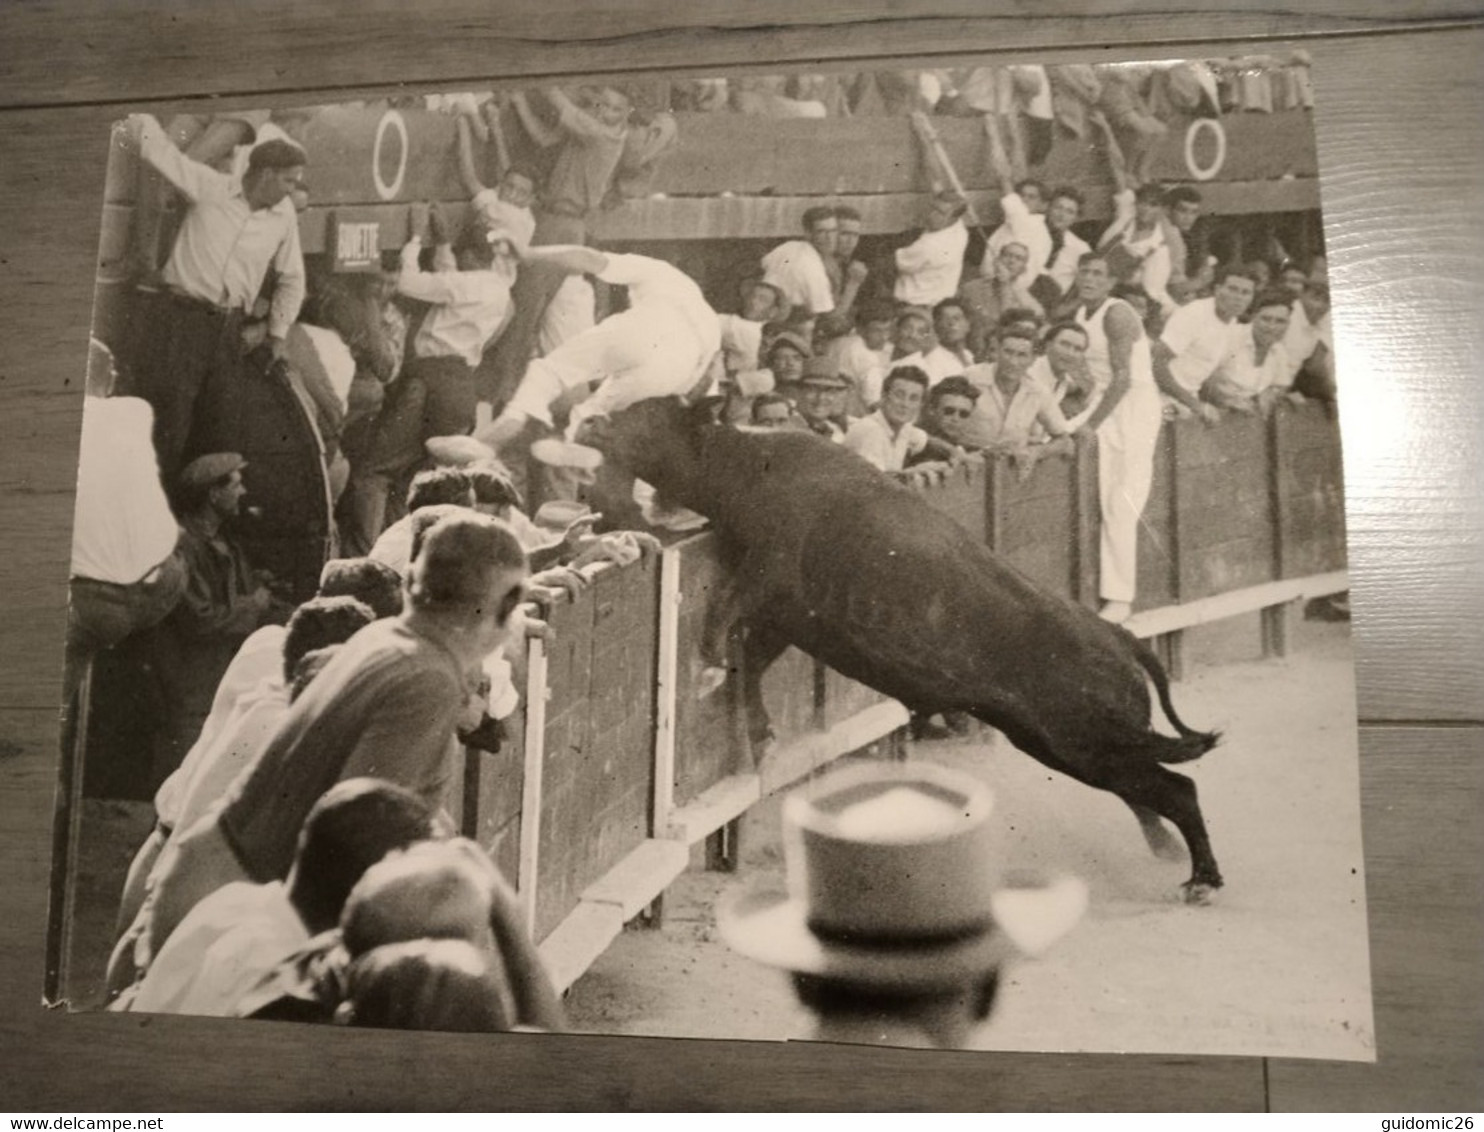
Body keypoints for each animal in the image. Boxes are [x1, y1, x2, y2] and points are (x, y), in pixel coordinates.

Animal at [581, 403, 1228, 896]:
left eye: (644, 414)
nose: (589, 419)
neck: (751, 466)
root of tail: (1118, 636)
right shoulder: (789, 617)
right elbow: (755, 663)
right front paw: (761, 734)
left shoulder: (770, 575)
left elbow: (726, 618)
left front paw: (710, 670)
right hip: (1062, 744)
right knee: (1150, 791)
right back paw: (1168, 852)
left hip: (1085, 743)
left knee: (1178, 789)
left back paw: (1201, 879)